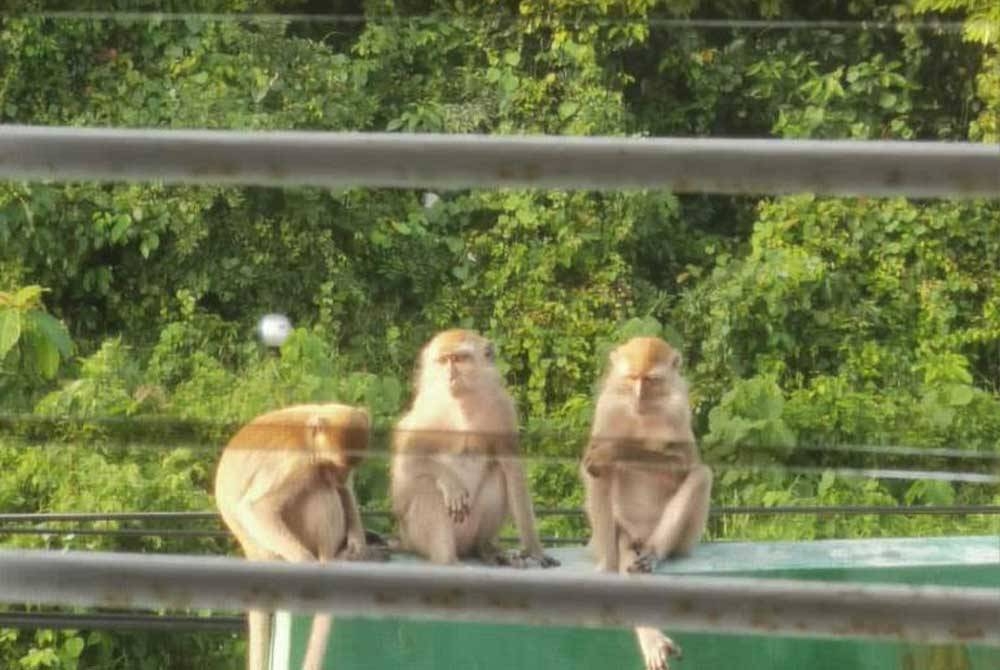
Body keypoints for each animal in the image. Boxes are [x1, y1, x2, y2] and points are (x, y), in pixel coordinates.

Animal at [214, 404, 382, 670]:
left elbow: (346, 491)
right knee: (318, 491)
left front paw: (358, 543)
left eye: (349, 468)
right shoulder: (296, 462)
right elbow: (256, 508)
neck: (307, 433)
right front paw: (308, 563)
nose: (340, 477)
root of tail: (253, 553)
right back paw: (331, 557)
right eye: (334, 466)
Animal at [390, 328, 564, 568]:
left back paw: (485, 549)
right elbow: (408, 463)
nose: (450, 375)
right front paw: (451, 482)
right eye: (443, 360)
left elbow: (512, 469)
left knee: (498, 475)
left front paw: (534, 549)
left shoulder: (502, 408)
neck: (463, 401)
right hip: (414, 535)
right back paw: (448, 560)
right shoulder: (426, 412)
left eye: (459, 359)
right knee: (429, 487)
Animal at [584, 338, 716, 670]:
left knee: (701, 474)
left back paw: (655, 552)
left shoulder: (679, 408)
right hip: (624, 531)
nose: (639, 397)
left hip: (685, 539)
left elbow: (684, 463)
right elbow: (595, 472)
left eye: (651, 380)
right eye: (632, 378)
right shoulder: (608, 407)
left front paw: (616, 451)